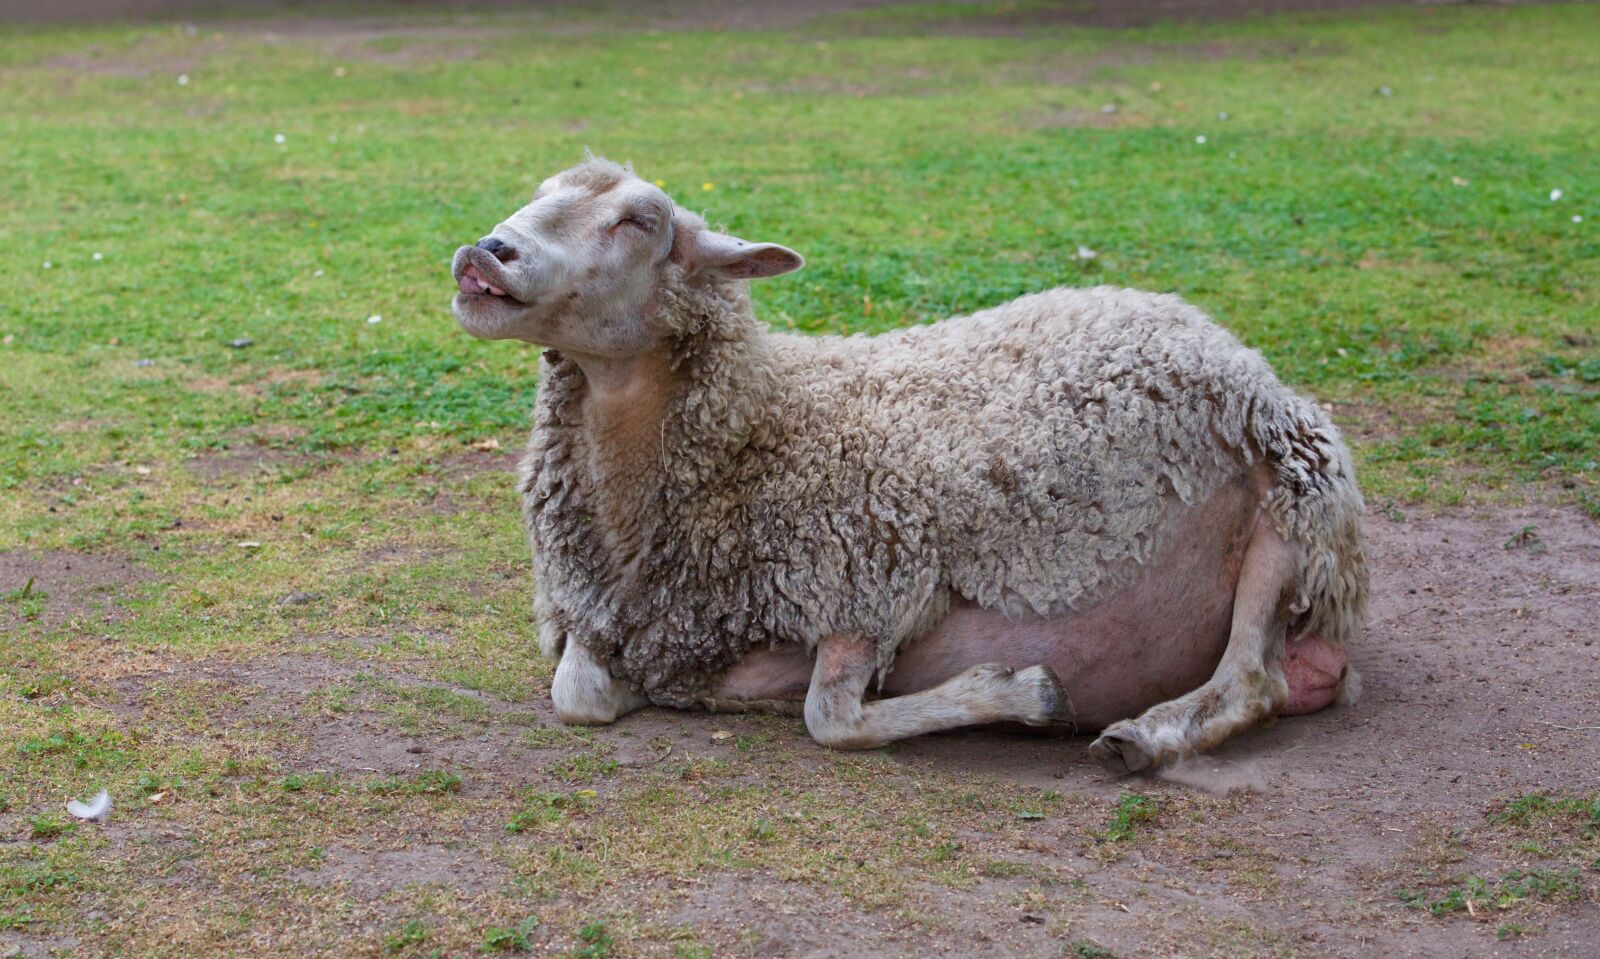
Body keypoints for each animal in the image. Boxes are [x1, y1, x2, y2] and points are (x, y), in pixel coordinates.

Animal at [450, 157, 1369, 773]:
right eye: (541, 192)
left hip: (1293, 500)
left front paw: (1019, 689)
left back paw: (1141, 736)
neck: (761, 429)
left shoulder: (870, 579)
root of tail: (1211, 330)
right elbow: (578, 694)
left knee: (1253, 680)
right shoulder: (605, 616)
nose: (484, 251)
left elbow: (832, 717)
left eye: (640, 221)